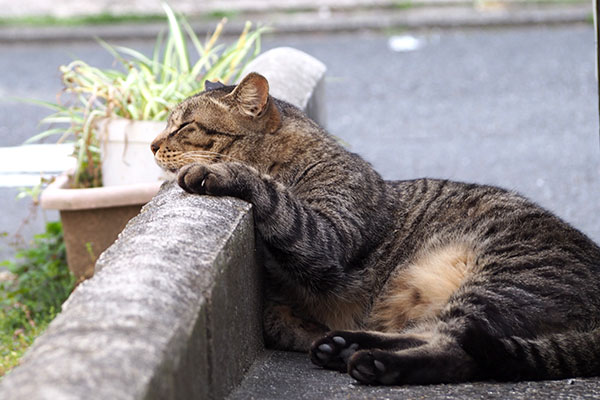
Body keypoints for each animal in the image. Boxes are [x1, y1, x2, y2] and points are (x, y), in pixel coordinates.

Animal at [151, 73, 600, 386]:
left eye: (184, 126)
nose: (152, 144)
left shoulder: (326, 236)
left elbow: (272, 195)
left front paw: (222, 172)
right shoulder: (282, 300)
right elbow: (279, 319)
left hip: (500, 278)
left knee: (459, 347)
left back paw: (375, 362)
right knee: (440, 334)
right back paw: (344, 346)